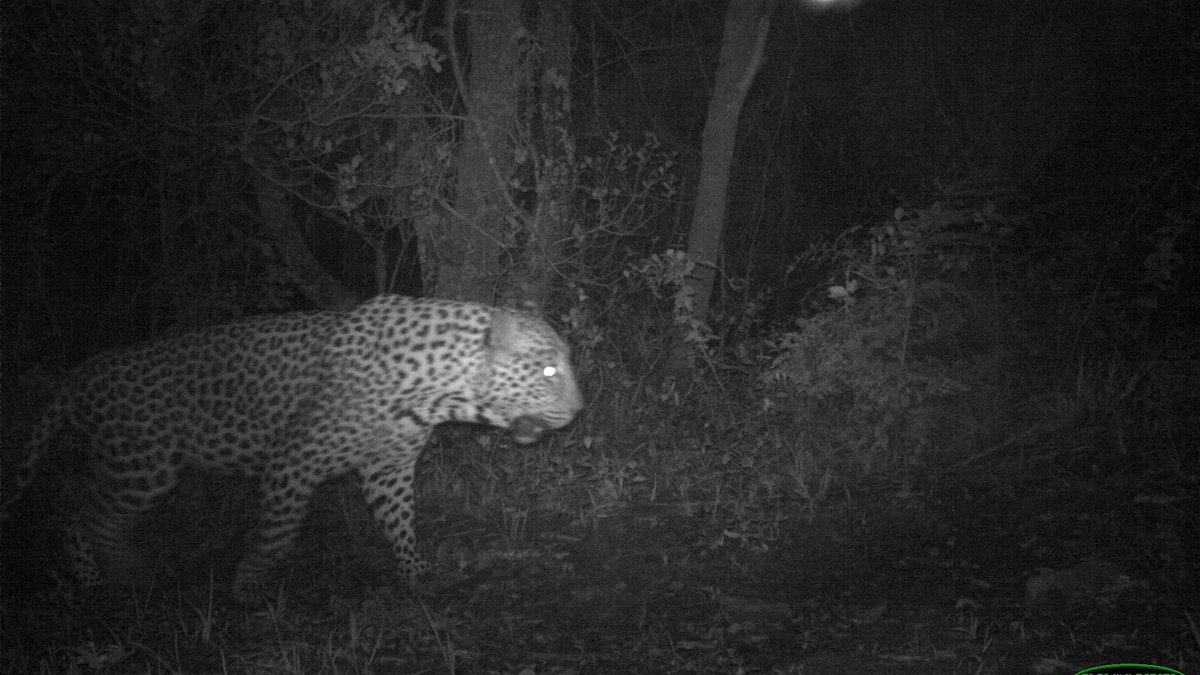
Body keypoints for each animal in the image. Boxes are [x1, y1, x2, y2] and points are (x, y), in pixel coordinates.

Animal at [3, 295, 583, 603]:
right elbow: (278, 536)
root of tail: (79, 373)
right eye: (548, 370)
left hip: (130, 466)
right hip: (143, 466)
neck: (438, 389)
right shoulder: (293, 463)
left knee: (84, 513)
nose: (579, 410)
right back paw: (119, 578)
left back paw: (112, 574)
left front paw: (417, 578)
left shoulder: (389, 467)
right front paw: (248, 589)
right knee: (88, 516)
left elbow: (401, 524)